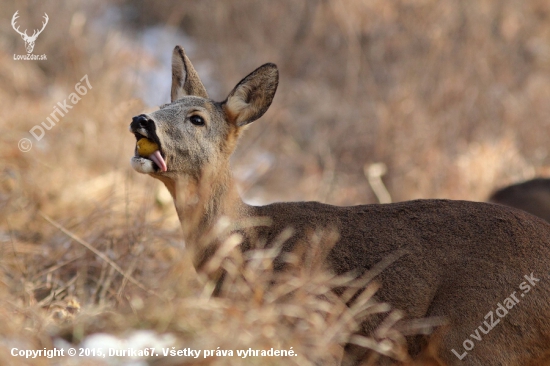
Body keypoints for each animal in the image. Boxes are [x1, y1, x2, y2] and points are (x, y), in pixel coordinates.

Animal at [130, 46, 550, 366]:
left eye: (196, 118)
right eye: (165, 103)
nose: (141, 120)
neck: (247, 242)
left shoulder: (313, 326)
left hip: (479, 335)